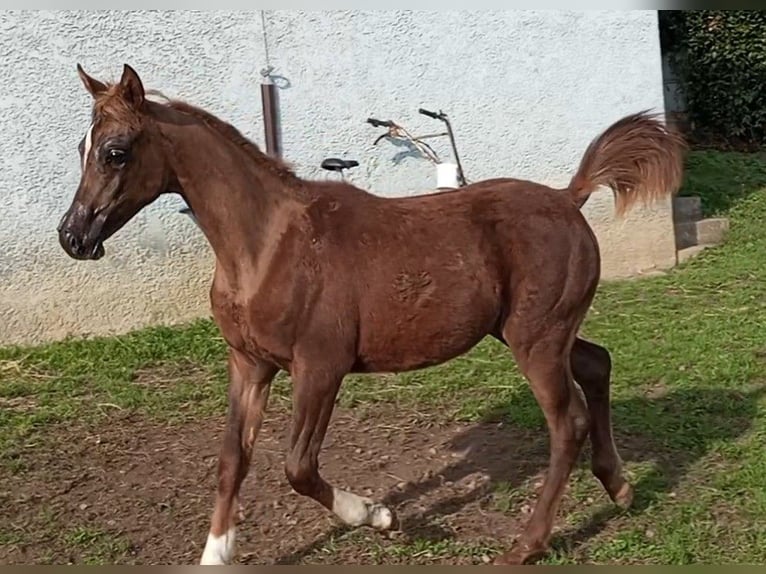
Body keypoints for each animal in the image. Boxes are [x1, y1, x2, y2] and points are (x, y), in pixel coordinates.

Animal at [57, 64, 688, 568]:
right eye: (81, 149)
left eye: (116, 151)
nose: (73, 236)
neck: (268, 245)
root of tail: (568, 197)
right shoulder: (250, 363)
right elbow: (232, 459)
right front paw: (216, 554)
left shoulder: (321, 367)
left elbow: (298, 467)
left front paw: (381, 517)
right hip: (530, 332)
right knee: (597, 364)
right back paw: (620, 488)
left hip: (537, 340)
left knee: (567, 422)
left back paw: (526, 544)